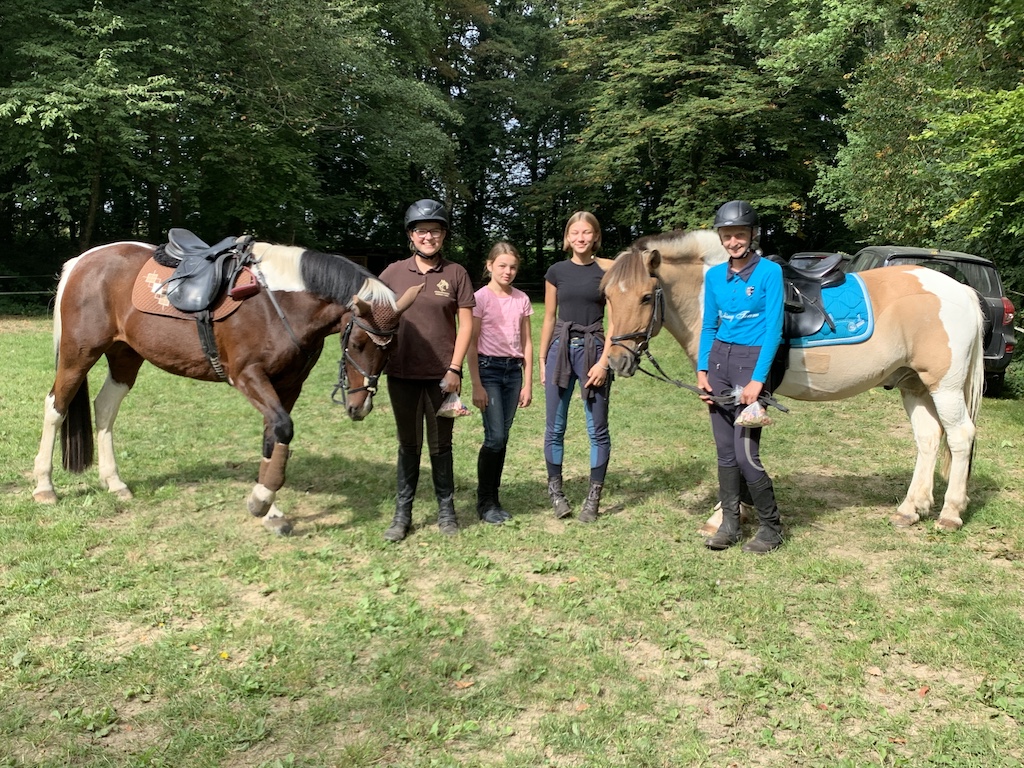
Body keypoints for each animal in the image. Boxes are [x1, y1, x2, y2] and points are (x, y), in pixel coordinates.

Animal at [32, 239, 420, 534]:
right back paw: (44, 487)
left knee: (105, 409)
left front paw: (270, 510)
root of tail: (83, 260)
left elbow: (273, 437)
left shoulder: (287, 386)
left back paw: (114, 483)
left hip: (125, 357)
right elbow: (283, 428)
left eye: (391, 349)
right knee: (55, 407)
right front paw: (261, 501)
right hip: (78, 354)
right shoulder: (247, 376)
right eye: (357, 343)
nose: (360, 407)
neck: (277, 302)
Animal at [600, 229, 985, 532]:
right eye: (608, 297)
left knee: (960, 436)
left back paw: (950, 513)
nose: (618, 360)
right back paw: (910, 509)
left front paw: (726, 515)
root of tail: (962, 290)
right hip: (913, 385)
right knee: (929, 438)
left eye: (646, 297)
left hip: (945, 387)